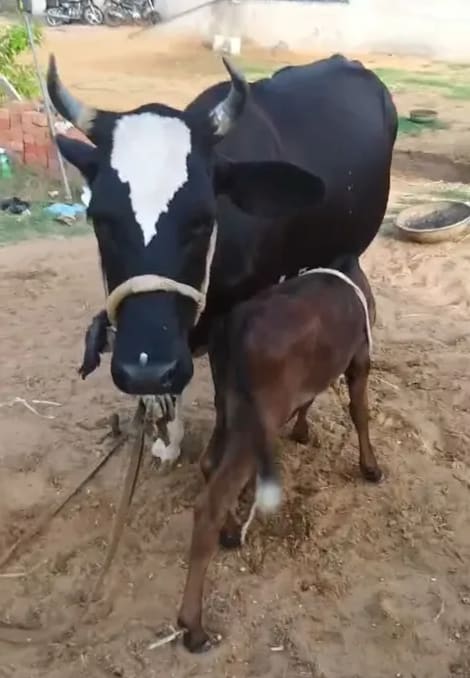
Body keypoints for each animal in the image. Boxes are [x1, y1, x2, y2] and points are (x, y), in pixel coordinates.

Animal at [178, 254, 380, 652]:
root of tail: (233, 326)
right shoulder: (360, 357)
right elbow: (360, 413)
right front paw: (371, 466)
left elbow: (310, 399)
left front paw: (302, 431)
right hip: (259, 417)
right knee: (210, 501)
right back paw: (193, 627)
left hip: (228, 405)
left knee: (209, 464)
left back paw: (230, 532)